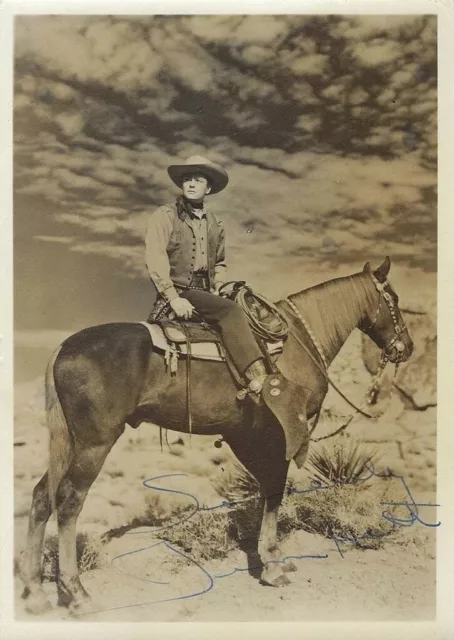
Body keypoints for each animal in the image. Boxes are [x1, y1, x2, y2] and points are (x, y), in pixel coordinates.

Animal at [20, 255, 412, 616]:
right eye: (392, 298)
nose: (406, 347)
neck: (295, 343)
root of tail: (63, 348)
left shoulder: (243, 435)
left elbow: (267, 489)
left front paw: (270, 559)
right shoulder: (278, 433)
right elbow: (275, 489)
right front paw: (272, 565)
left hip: (70, 442)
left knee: (41, 496)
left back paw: (35, 592)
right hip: (95, 443)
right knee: (69, 501)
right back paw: (77, 594)